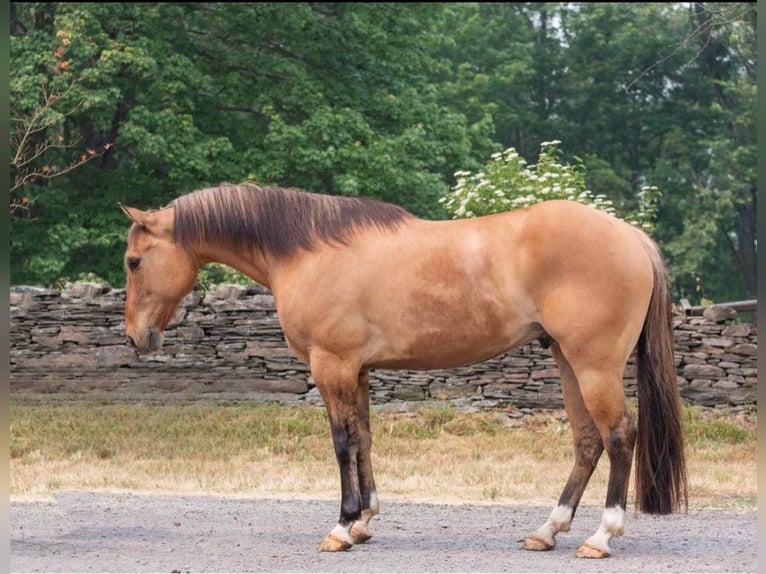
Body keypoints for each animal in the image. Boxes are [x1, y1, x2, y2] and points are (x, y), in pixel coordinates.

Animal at [121, 183, 688, 560]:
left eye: (133, 261)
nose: (135, 336)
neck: (308, 251)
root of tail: (632, 237)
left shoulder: (332, 366)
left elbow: (342, 444)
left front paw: (342, 526)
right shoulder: (358, 371)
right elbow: (364, 440)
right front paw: (365, 520)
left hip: (594, 365)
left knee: (619, 436)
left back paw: (600, 536)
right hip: (568, 361)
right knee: (588, 442)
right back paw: (548, 531)